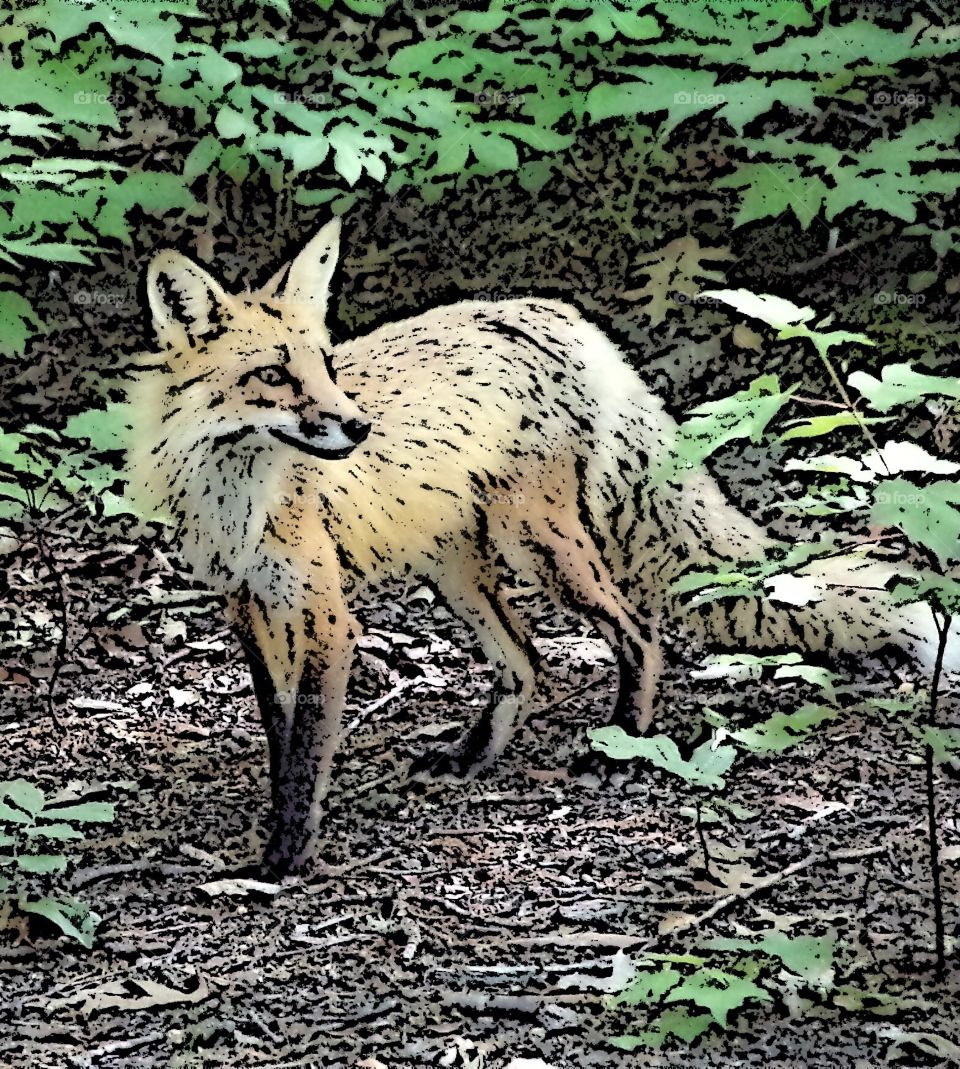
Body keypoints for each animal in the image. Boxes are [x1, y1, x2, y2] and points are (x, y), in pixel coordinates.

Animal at [128, 219, 951, 876]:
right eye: (273, 374)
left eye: (325, 367)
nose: (359, 426)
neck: (242, 495)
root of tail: (547, 311)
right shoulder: (251, 608)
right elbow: (279, 737)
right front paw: (276, 837)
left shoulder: (329, 615)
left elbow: (306, 753)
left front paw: (287, 856)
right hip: (458, 570)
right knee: (526, 662)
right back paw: (471, 758)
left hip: (538, 547)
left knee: (640, 634)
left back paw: (617, 746)